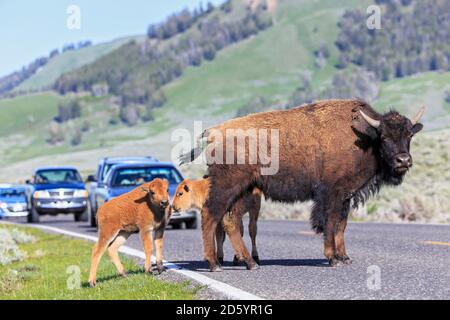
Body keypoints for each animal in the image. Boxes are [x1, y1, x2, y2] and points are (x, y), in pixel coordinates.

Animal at [180, 97, 426, 270]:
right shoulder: (331, 194)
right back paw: (215, 264)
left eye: (409, 135)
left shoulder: (346, 196)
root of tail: (213, 132)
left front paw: (344, 257)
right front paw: (332, 258)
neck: (364, 137)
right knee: (211, 215)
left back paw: (249, 263)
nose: (403, 160)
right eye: (384, 137)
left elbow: (341, 225)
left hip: (243, 190)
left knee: (230, 222)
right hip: (227, 187)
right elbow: (329, 223)